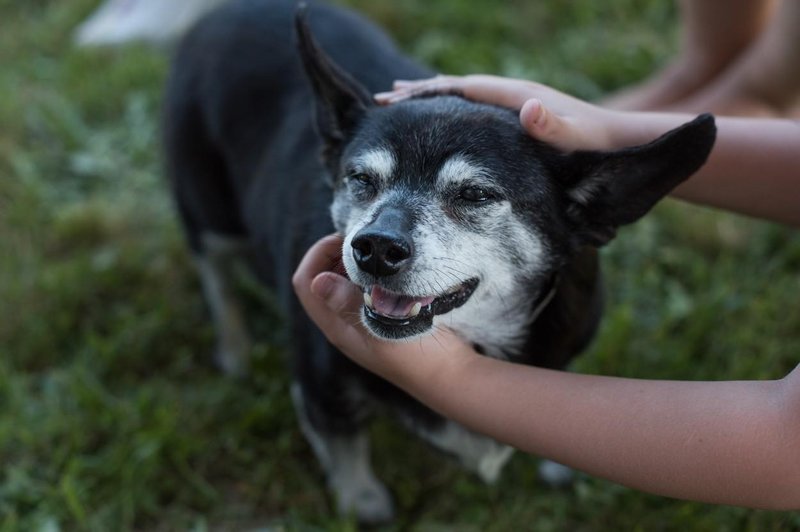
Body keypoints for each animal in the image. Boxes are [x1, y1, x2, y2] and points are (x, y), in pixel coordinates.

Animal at [164, 0, 720, 524]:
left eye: (475, 194)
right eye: (360, 179)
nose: (376, 247)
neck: (475, 339)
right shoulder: (321, 389)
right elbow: (346, 450)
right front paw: (364, 503)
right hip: (207, 209)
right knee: (215, 275)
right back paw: (235, 349)